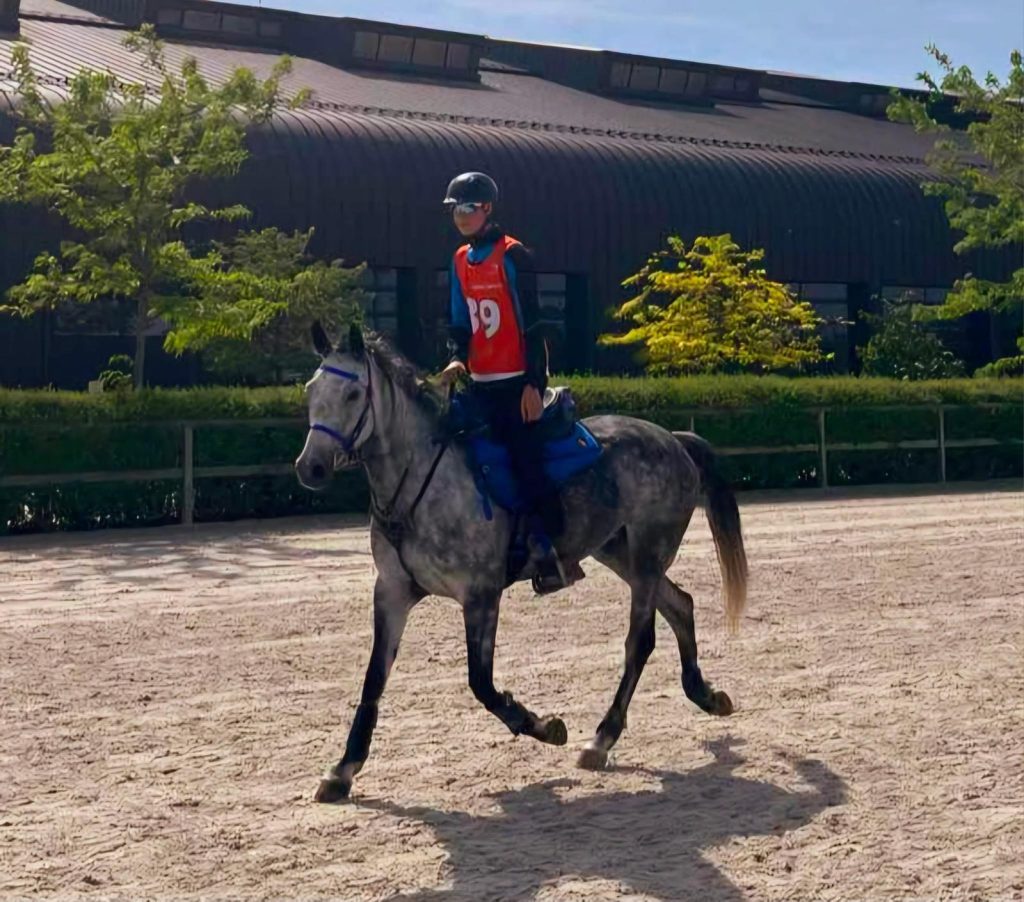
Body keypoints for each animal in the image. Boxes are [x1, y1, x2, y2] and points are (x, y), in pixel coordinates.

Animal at [295, 323, 748, 803]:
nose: (311, 467)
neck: (422, 481)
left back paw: (601, 738)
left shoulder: (480, 595)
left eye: (353, 394)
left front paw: (544, 726)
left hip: (646, 556)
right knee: (680, 605)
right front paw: (343, 769)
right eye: (311, 391)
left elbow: (482, 683)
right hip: (619, 552)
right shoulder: (393, 593)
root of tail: (672, 440)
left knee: (639, 642)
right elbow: (374, 679)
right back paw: (705, 694)